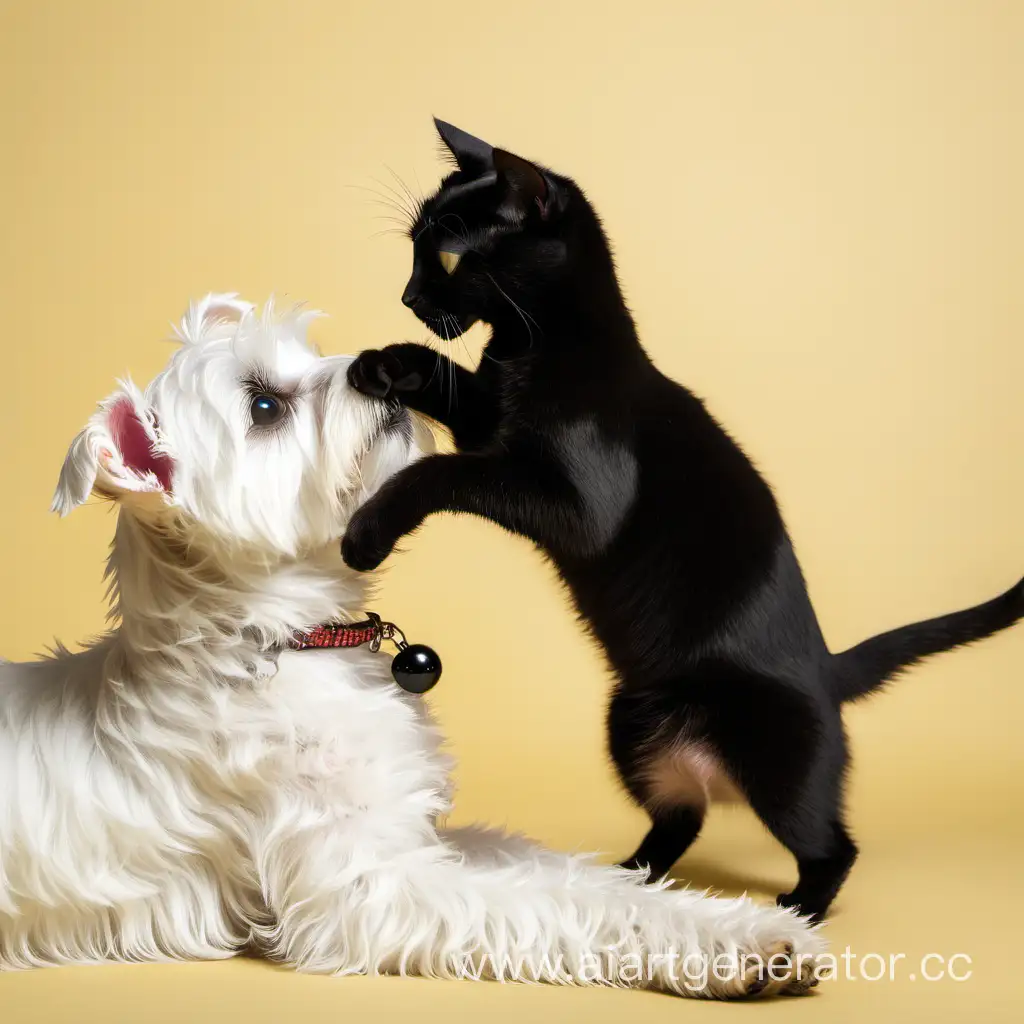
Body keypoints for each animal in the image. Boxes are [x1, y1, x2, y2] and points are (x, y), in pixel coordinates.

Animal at [0, 294, 819, 991]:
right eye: (264, 405)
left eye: (310, 354)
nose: (377, 368)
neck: (280, 642)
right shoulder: (371, 889)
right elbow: (556, 902)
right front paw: (739, 946)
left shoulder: (414, 830)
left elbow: (567, 871)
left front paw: (731, 919)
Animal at [344, 117, 1024, 921]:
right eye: (414, 248)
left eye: (448, 254)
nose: (409, 294)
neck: (532, 350)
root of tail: (827, 670)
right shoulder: (491, 428)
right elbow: (450, 385)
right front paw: (385, 363)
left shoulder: (570, 502)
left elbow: (442, 473)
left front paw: (366, 533)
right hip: (630, 722)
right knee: (682, 815)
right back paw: (626, 879)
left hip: (773, 760)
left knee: (830, 845)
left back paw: (795, 914)